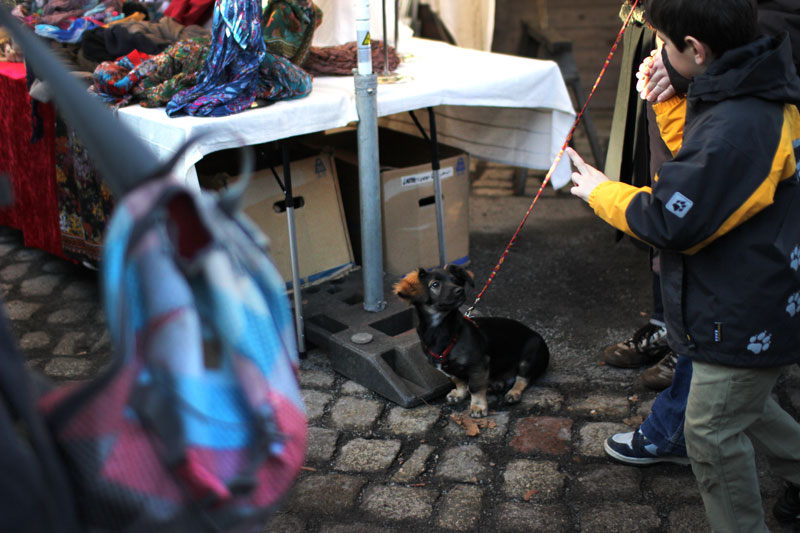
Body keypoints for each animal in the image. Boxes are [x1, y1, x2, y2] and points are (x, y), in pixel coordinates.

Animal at [394, 264, 552, 418]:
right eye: (435, 284)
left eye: (455, 280)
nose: (459, 290)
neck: (442, 330)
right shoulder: (446, 368)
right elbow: (458, 381)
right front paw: (459, 393)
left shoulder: (478, 365)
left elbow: (475, 387)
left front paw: (478, 407)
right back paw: (496, 383)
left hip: (530, 356)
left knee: (523, 378)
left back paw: (513, 392)